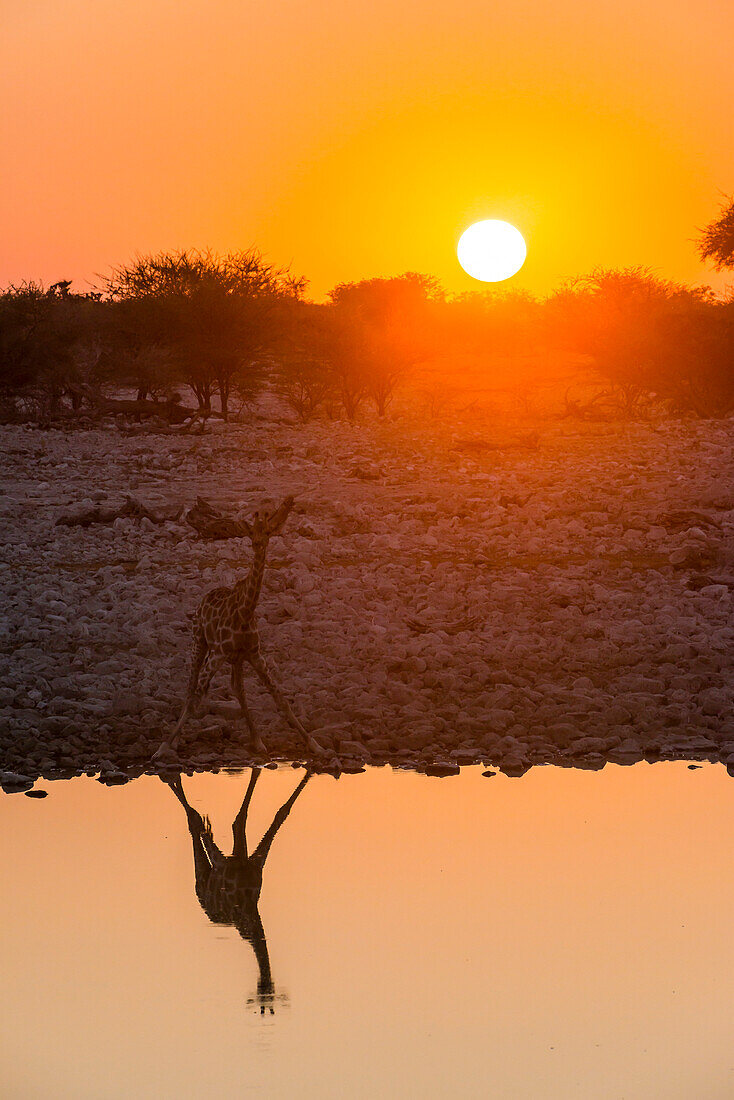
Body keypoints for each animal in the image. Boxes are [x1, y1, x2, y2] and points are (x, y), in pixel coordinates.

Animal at [155, 497, 319, 761]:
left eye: (268, 532)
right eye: (251, 533)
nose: (257, 544)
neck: (245, 613)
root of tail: (206, 595)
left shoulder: (254, 654)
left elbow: (280, 697)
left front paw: (314, 744)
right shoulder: (219, 654)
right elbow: (196, 697)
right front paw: (161, 748)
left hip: (236, 659)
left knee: (237, 688)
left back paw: (257, 741)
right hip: (199, 642)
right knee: (191, 688)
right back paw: (177, 740)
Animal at [163, 765, 310, 1012]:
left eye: (271, 992)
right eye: (261, 994)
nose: (266, 983)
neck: (248, 908)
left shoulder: (248, 859)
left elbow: (272, 813)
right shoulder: (224, 863)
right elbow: (232, 821)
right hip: (205, 878)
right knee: (194, 826)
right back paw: (172, 779)